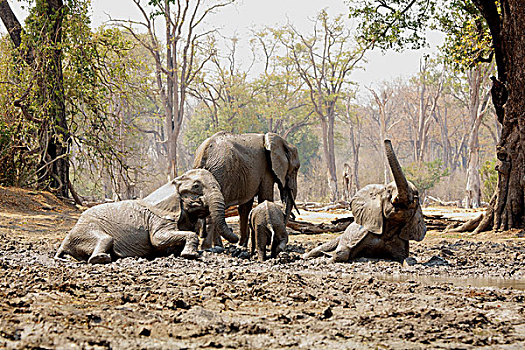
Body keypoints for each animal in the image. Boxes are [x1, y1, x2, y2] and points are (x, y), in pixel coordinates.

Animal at [53, 168, 233, 264]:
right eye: (196, 186)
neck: (173, 184)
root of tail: (65, 242)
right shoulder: (159, 219)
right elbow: (158, 239)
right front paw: (190, 255)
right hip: (86, 231)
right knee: (106, 239)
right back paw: (102, 258)